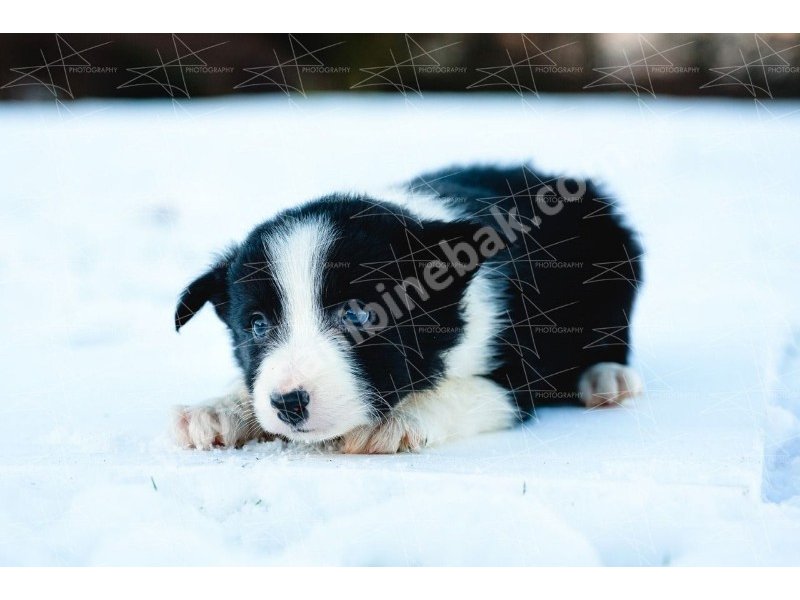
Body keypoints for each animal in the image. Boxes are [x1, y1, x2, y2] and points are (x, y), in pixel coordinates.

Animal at [173, 164, 644, 454]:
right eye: (257, 325)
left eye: (358, 315)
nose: (289, 402)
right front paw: (220, 408)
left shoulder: (523, 370)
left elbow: (465, 390)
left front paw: (397, 418)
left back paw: (607, 378)